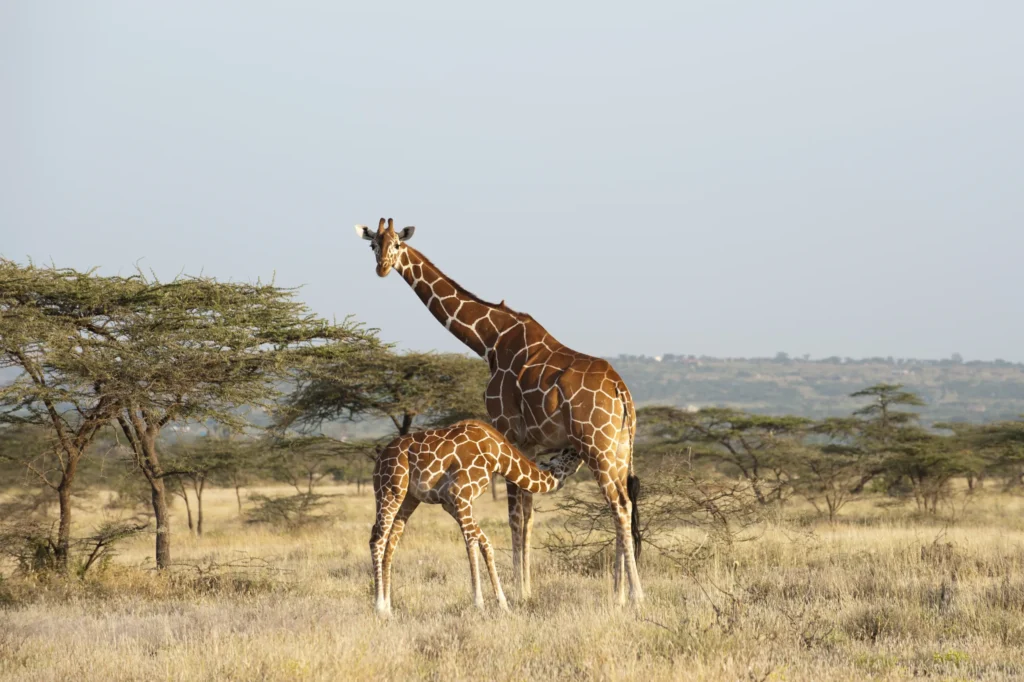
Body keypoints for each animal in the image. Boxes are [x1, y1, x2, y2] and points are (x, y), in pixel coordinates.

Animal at [370, 420, 583, 615]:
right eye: (568, 453)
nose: (581, 454)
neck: (496, 455)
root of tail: (380, 458)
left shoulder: (450, 503)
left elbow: (485, 543)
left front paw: (503, 603)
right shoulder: (460, 494)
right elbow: (471, 542)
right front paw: (479, 604)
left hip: (409, 498)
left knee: (391, 542)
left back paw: (389, 609)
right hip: (390, 489)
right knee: (377, 539)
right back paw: (379, 607)